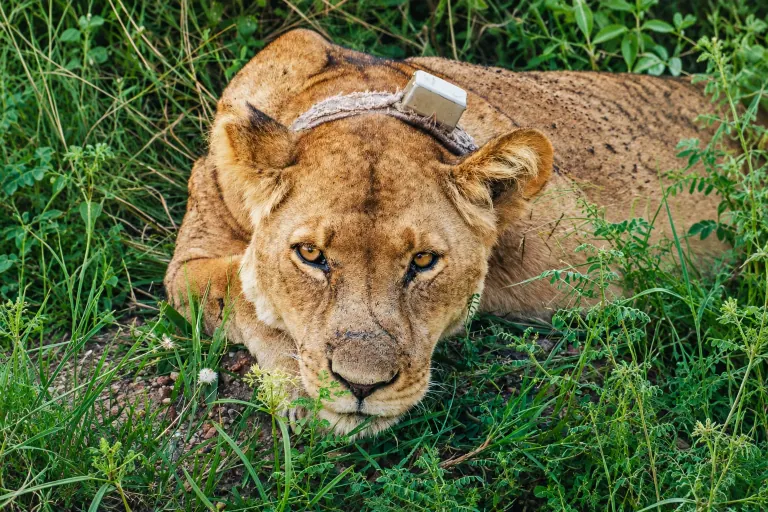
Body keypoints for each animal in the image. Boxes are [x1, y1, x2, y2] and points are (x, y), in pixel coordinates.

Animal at [164, 29, 724, 435]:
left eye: (423, 262)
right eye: (309, 254)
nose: (362, 386)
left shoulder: (607, 269)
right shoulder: (189, 259)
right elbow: (236, 286)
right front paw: (300, 381)